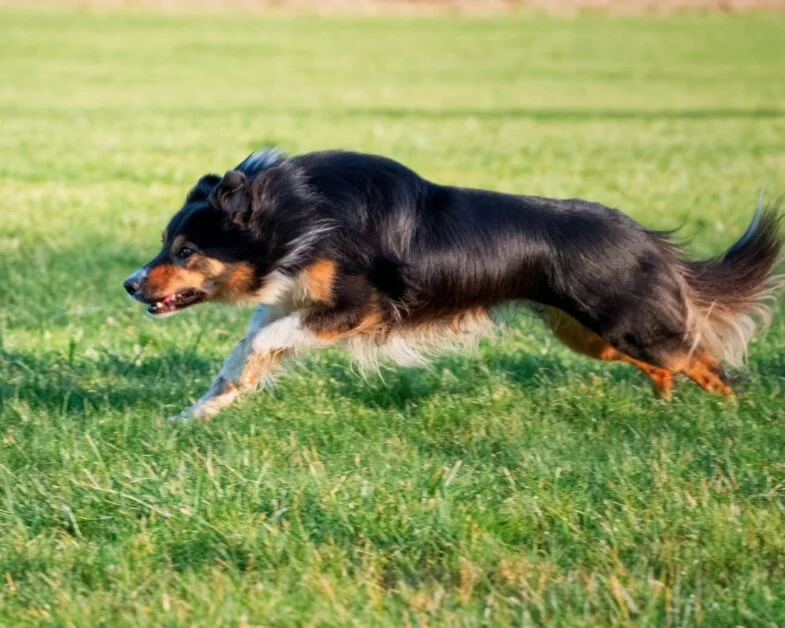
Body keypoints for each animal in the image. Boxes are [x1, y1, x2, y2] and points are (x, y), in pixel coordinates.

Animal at [124, 150, 784, 420]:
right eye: (166, 243)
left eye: (186, 251)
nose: (130, 285)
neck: (292, 215)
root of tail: (644, 237)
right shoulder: (294, 301)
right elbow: (247, 348)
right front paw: (194, 415)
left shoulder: (358, 306)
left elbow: (263, 340)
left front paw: (211, 401)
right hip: (589, 334)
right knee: (672, 364)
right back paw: (666, 403)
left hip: (625, 324)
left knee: (703, 360)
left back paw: (727, 417)